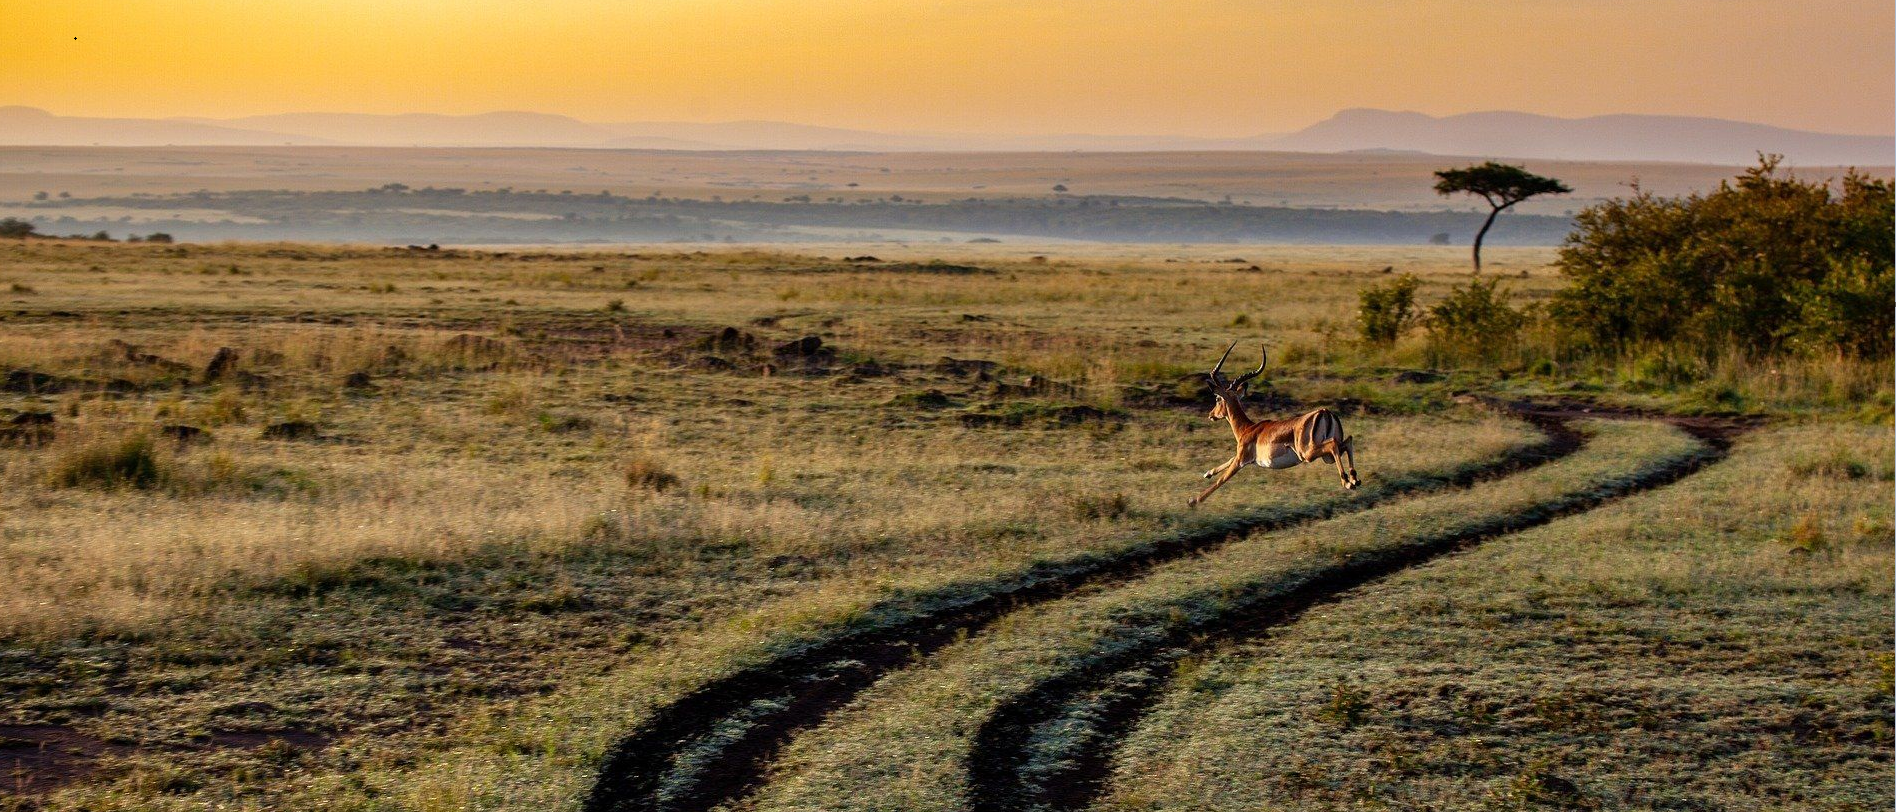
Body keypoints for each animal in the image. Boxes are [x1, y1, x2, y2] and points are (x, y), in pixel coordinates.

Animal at [1189, 341, 1359, 506]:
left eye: (1218, 399)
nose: (1211, 415)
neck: (1247, 429)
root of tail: (1325, 412)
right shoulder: (1242, 458)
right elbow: (1228, 461)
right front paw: (1208, 473)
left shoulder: (1241, 460)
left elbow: (1221, 480)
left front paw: (1193, 500)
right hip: (1326, 457)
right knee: (1347, 441)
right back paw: (1354, 480)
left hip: (1308, 453)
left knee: (1334, 444)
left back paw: (1347, 482)